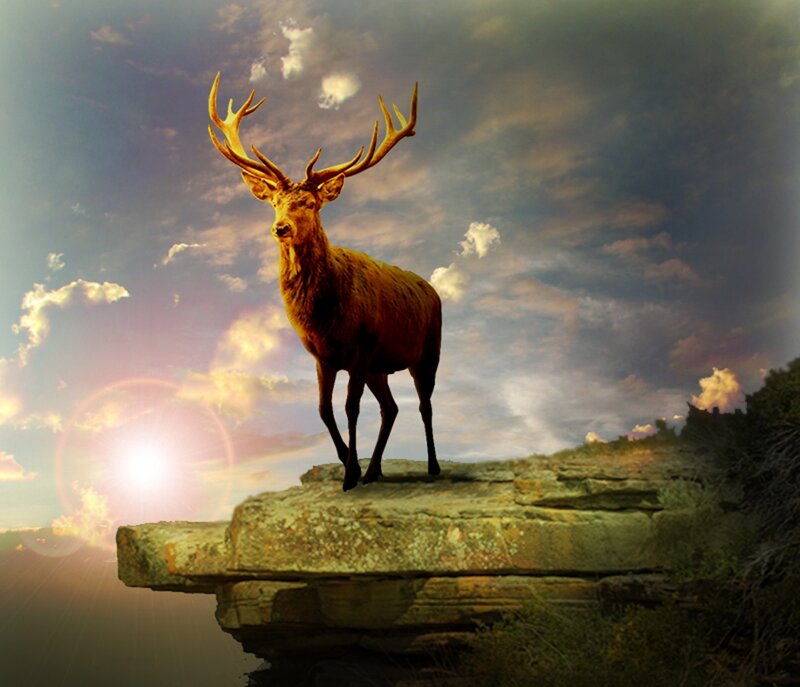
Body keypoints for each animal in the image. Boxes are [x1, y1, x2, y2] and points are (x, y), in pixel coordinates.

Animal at [208, 74, 441, 491]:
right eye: (275, 202)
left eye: (311, 204)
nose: (280, 228)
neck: (325, 317)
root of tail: (432, 290)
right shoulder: (323, 357)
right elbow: (323, 410)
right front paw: (350, 466)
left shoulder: (362, 347)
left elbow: (350, 408)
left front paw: (349, 474)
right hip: (382, 366)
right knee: (391, 408)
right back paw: (374, 470)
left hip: (428, 351)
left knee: (425, 404)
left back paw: (432, 467)